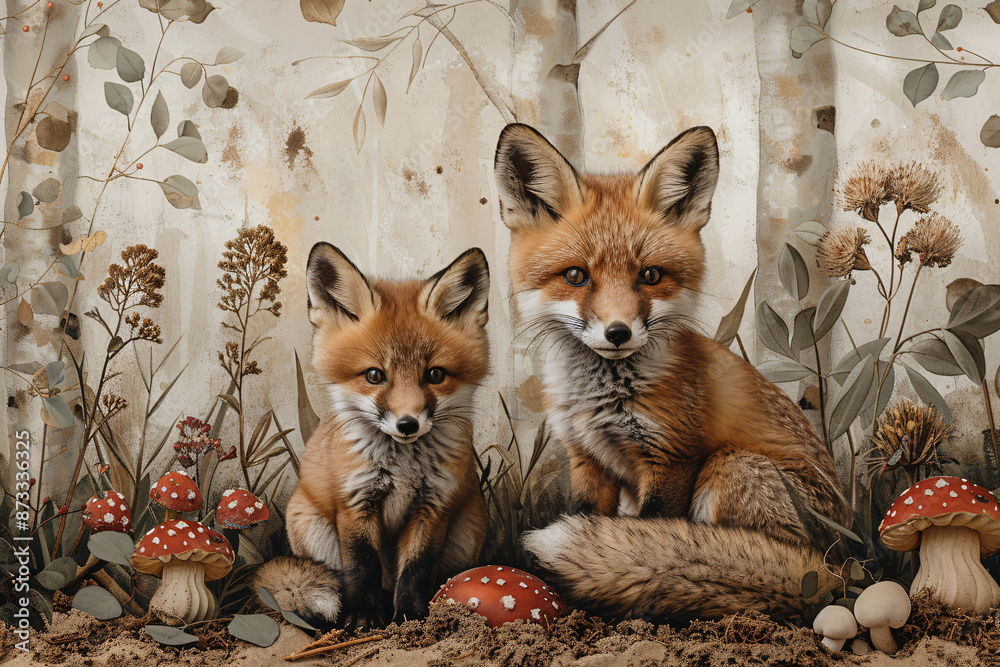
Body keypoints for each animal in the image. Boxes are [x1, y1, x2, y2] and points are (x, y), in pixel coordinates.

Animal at [255, 243, 490, 627]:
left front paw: (411, 619)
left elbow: (417, 569)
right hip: (312, 528)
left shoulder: (433, 507)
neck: (403, 469)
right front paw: (365, 616)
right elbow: (361, 567)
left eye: (435, 375)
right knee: (341, 577)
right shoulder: (355, 502)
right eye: (374, 375)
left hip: (469, 531)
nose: (407, 424)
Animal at [494, 123, 851, 622]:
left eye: (650, 275)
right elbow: (589, 516)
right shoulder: (586, 458)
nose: (618, 332)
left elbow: (646, 535)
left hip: (732, 467)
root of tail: (841, 565)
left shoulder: (672, 458)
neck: (602, 399)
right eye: (576, 276)